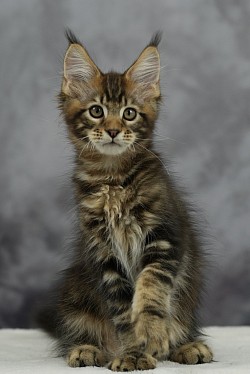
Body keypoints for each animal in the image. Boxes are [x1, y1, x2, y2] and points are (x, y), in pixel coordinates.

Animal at [51, 30, 215, 370]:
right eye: (96, 111)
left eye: (129, 114)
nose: (113, 131)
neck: (113, 178)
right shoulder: (103, 250)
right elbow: (123, 310)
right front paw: (133, 352)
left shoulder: (164, 234)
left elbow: (151, 287)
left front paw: (151, 333)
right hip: (75, 294)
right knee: (83, 329)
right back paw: (89, 350)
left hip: (186, 300)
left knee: (180, 325)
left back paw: (187, 347)